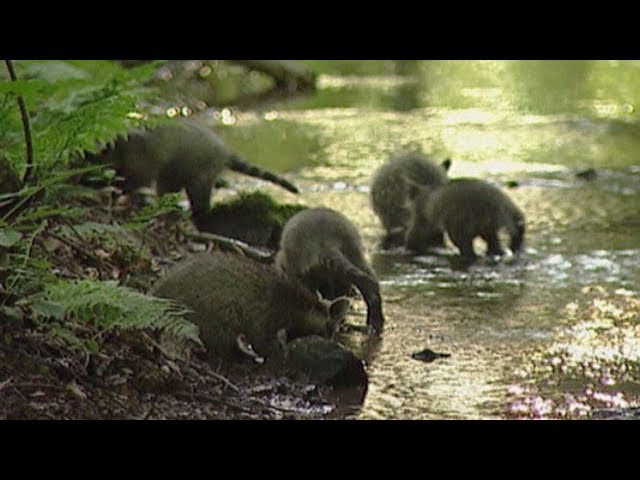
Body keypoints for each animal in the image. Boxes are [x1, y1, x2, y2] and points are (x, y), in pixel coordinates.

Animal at [85, 119, 302, 226]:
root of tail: (223, 150)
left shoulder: (140, 159)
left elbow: (137, 179)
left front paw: (116, 189)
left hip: (202, 169)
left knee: (198, 195)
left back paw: (198, 214)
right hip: (174, 171)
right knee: (167, 188)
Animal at [150, 253, 350, 362]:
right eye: (331, 329)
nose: (332, 342)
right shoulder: (268, 313)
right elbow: (262, 337)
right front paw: (279, 354)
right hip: (209, 306)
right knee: (220, 330)